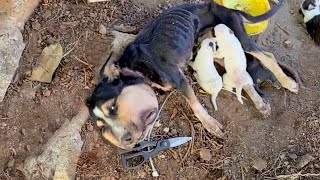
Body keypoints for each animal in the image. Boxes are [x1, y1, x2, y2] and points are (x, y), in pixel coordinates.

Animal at [86, 0, 298, 149]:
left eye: (112, 107)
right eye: (102, 127)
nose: (125, 141)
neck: (134, 68)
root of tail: (223, 6)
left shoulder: (180, 79)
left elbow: (195, 104)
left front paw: (210, 124)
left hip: (239, 38)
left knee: (268, 56)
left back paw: (288, 83)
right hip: (219, 49)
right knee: (244, 75)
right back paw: (261, 104)